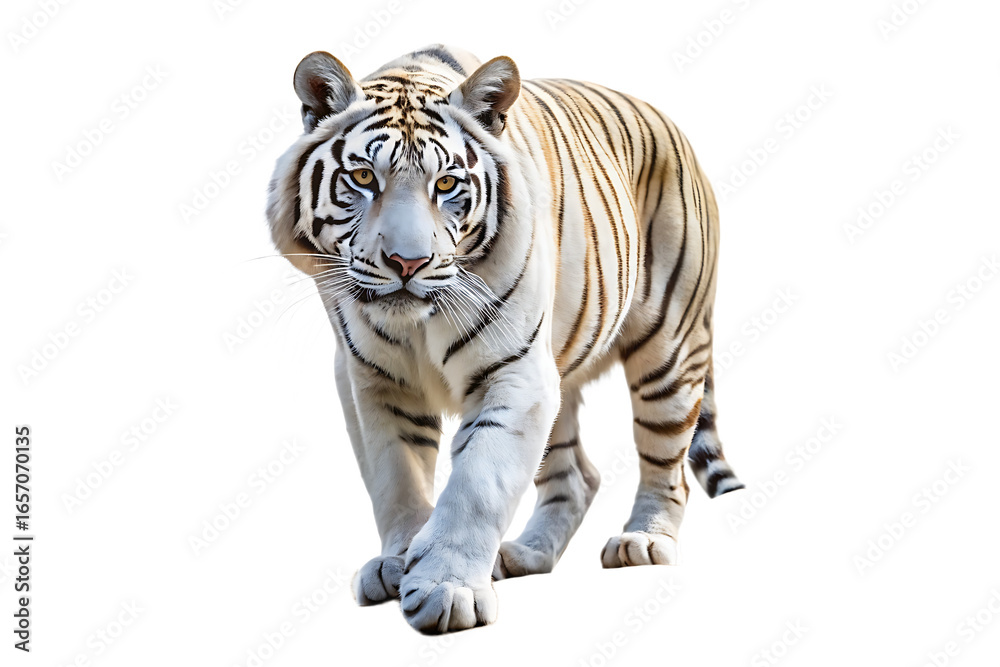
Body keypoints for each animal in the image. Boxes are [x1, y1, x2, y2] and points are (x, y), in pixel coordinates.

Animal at [266, 44, 744, 634]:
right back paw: (526, 554)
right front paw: (397, 562)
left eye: (446, 185)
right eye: (361, 177)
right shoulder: (371, 380)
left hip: (668, 350)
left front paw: (446, 589)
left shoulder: (514, 372)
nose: (407, 262)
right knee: (575, 476)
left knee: (667, 462)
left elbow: (479, 481)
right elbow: (395, 478)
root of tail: (671, 123)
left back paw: (644, 540)